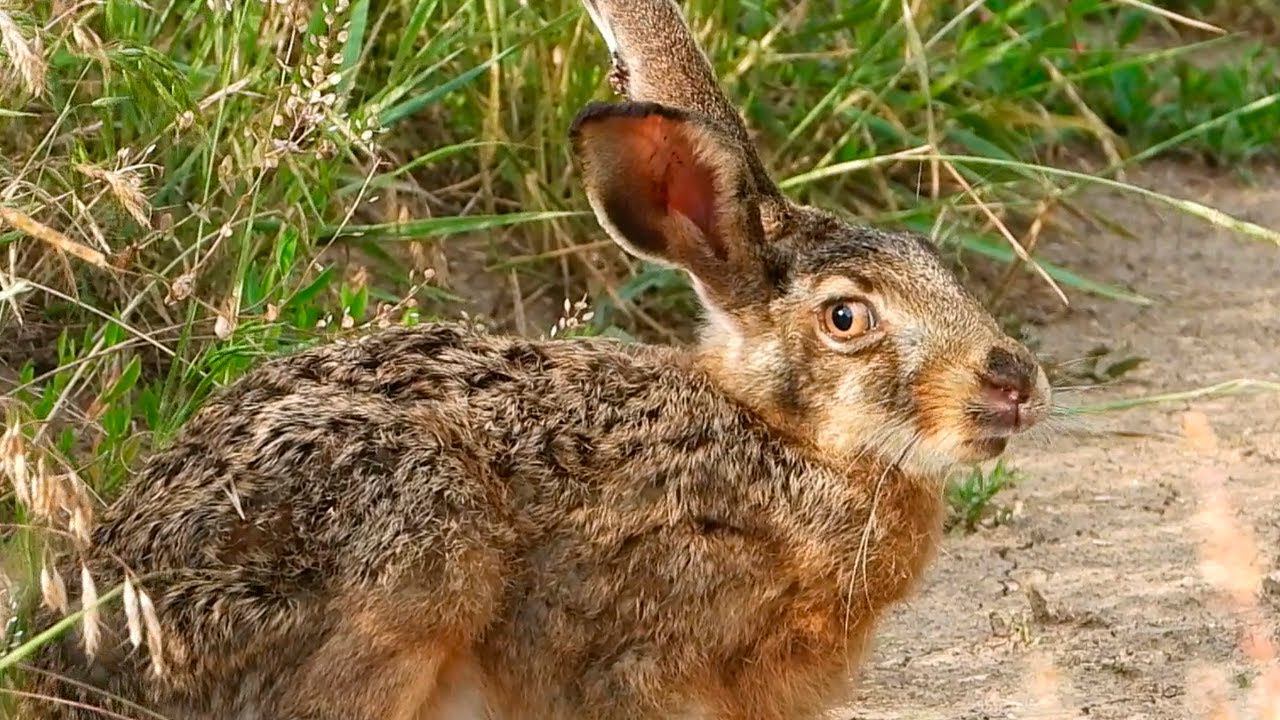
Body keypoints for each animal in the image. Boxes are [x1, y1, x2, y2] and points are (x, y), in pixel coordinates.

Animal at [22, 0, 1054, 718]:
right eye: (846, 317)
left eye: (935, 261)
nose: (1016, 382)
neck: (788, 445)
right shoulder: (643, 663)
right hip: (410, 550)